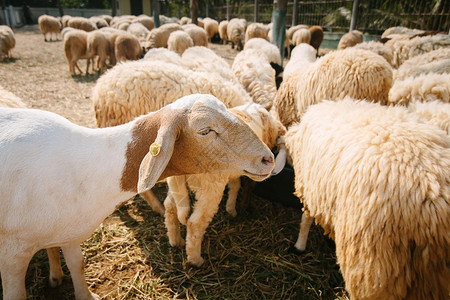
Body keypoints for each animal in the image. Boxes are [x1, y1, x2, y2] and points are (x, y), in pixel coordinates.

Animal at [163, 102, 284, 264]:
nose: (270, 161)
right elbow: (245, 186)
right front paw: (239, 209)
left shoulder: (233, 172)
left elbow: (235, 185)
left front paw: (231, 208)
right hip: (210, 188)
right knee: (195, 223)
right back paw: (196, 260)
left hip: (177, 183)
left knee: (170, 207)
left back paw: (176, 241)